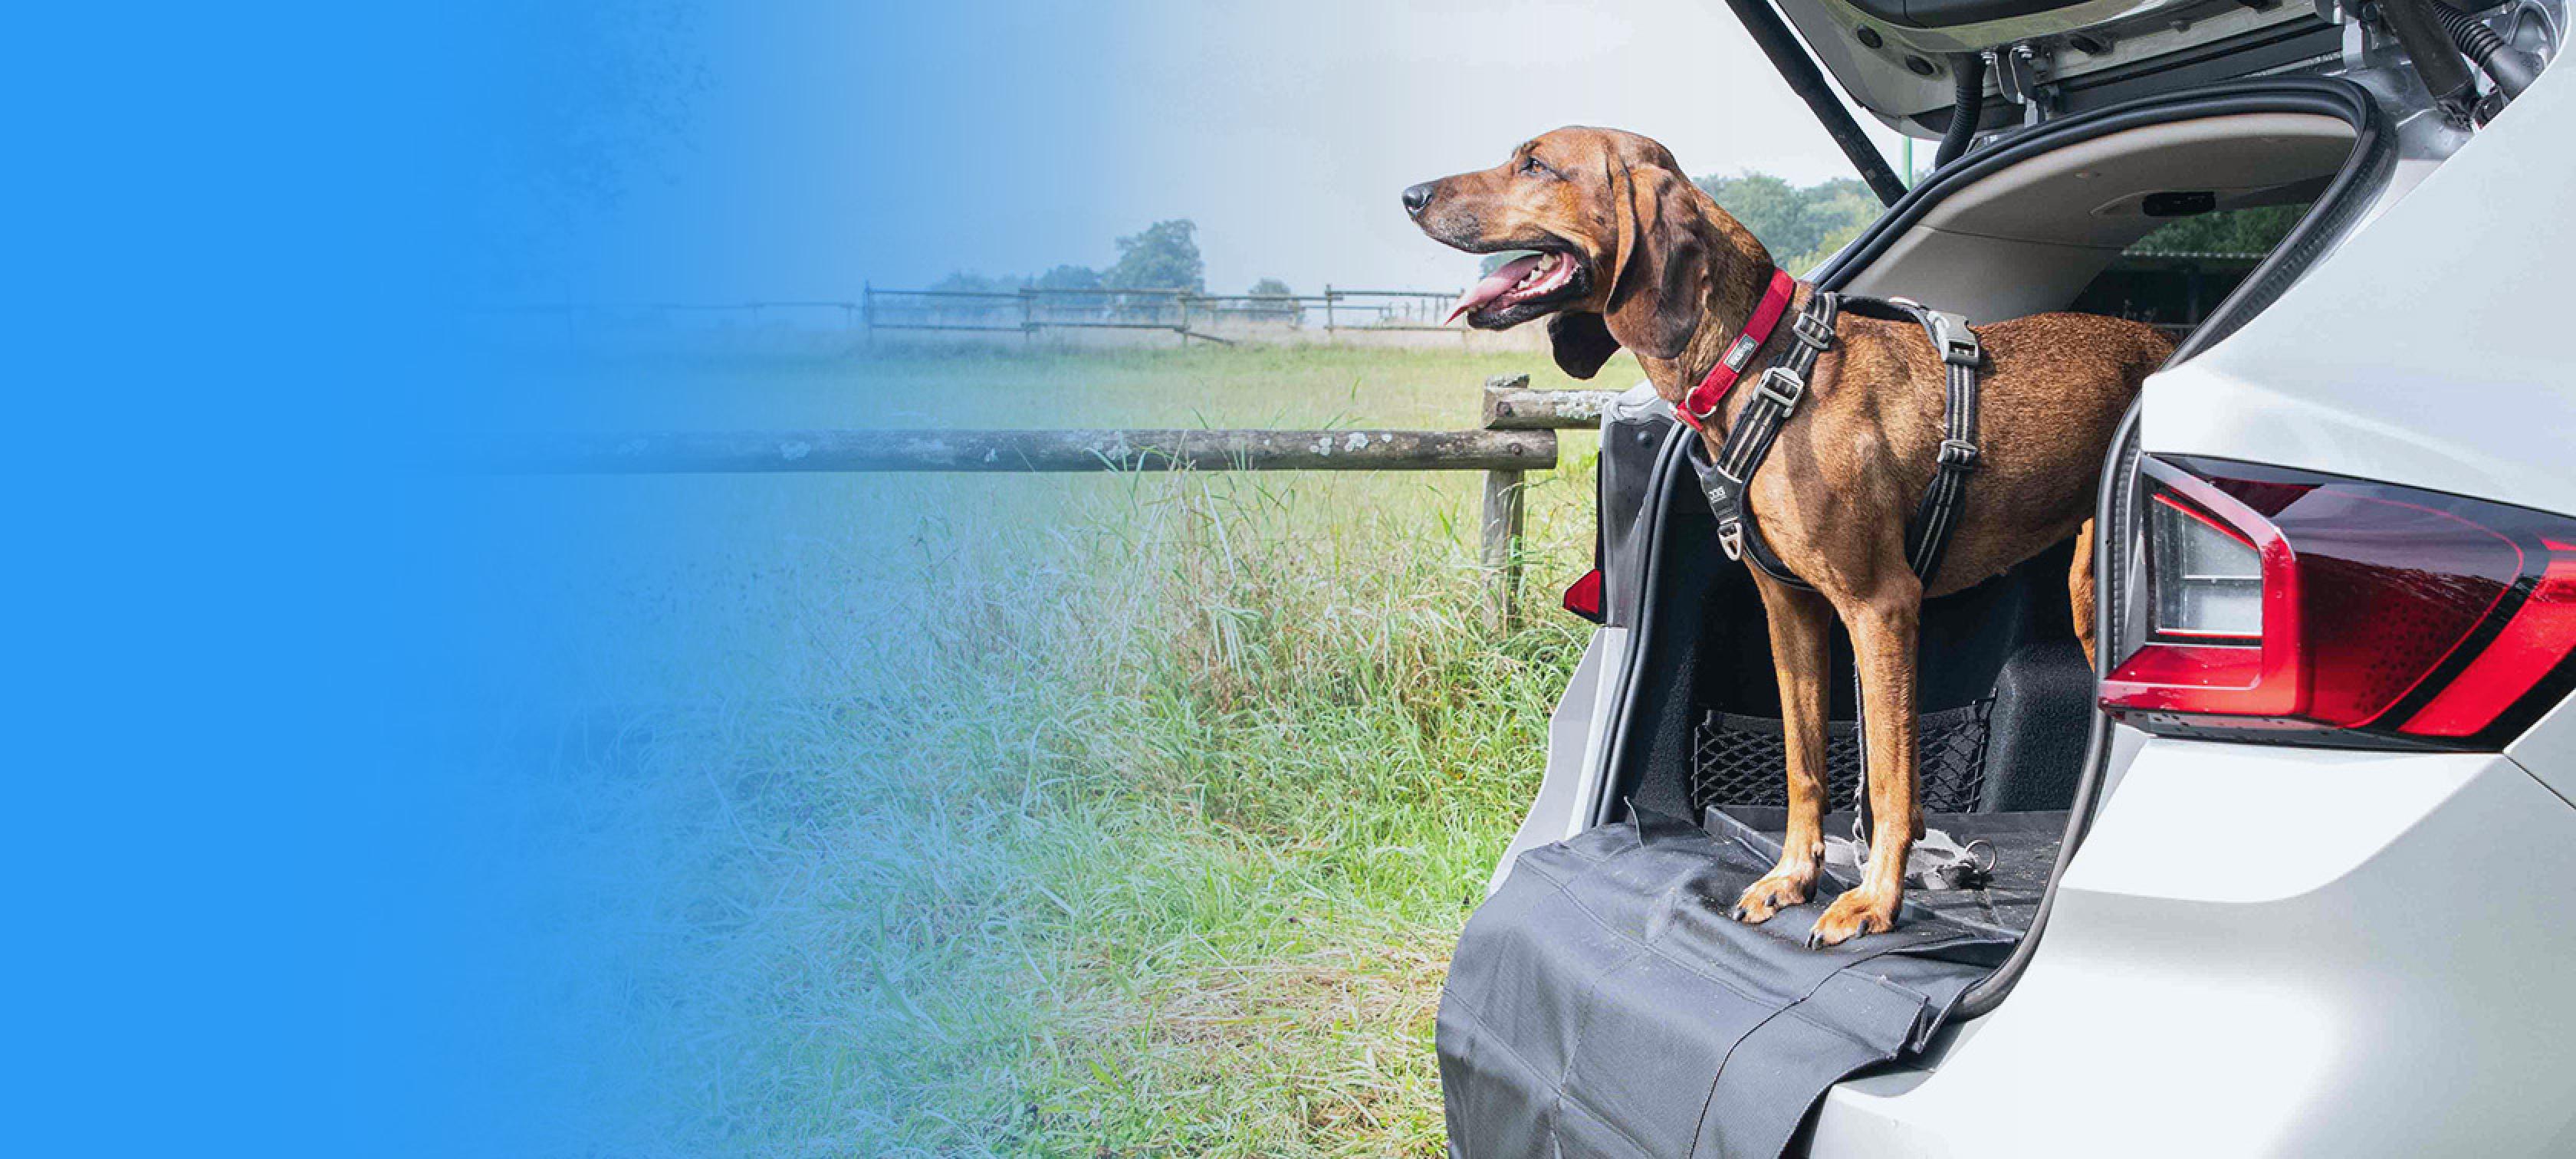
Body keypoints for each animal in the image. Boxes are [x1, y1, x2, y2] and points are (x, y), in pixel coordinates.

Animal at [1411, 126, 2174, 947]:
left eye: (1536, 164)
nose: (1412, 196)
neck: (1763, 363)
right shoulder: (1792, 609)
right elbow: (1804, 765)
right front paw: (1793, 877)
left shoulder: (1881, 607)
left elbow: (1891, 781)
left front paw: (1875, 900)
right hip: (2087, 597)